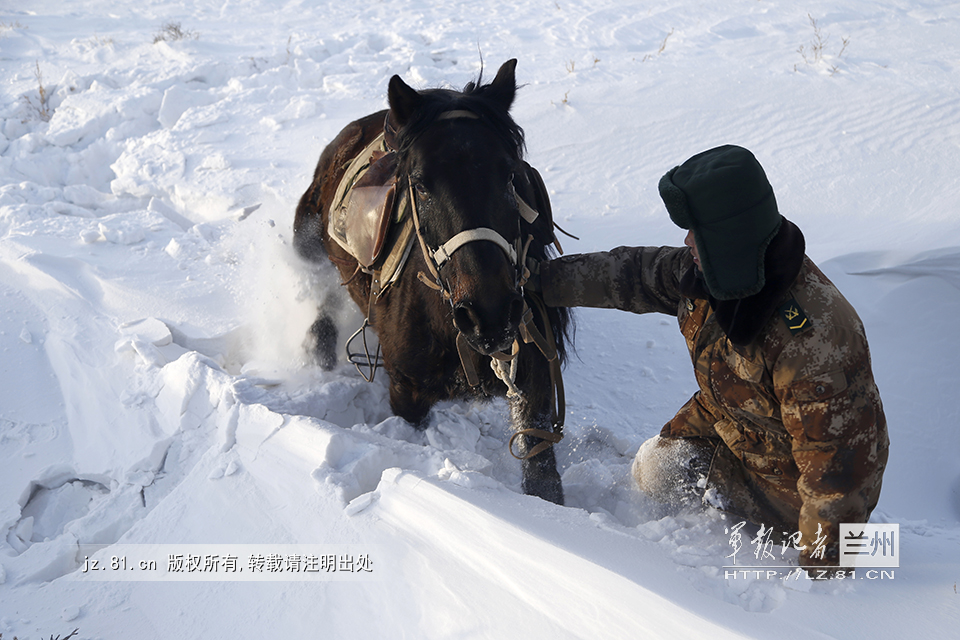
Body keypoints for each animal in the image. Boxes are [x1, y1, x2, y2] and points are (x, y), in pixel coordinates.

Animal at [288, 57, 568, 502]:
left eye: (510, 176)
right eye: (419, 184)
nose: (489, 315)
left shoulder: (534, 375)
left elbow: (542, 476)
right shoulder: (406, 393)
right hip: (308, 240)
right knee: (320, 286)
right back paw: (321, 345)